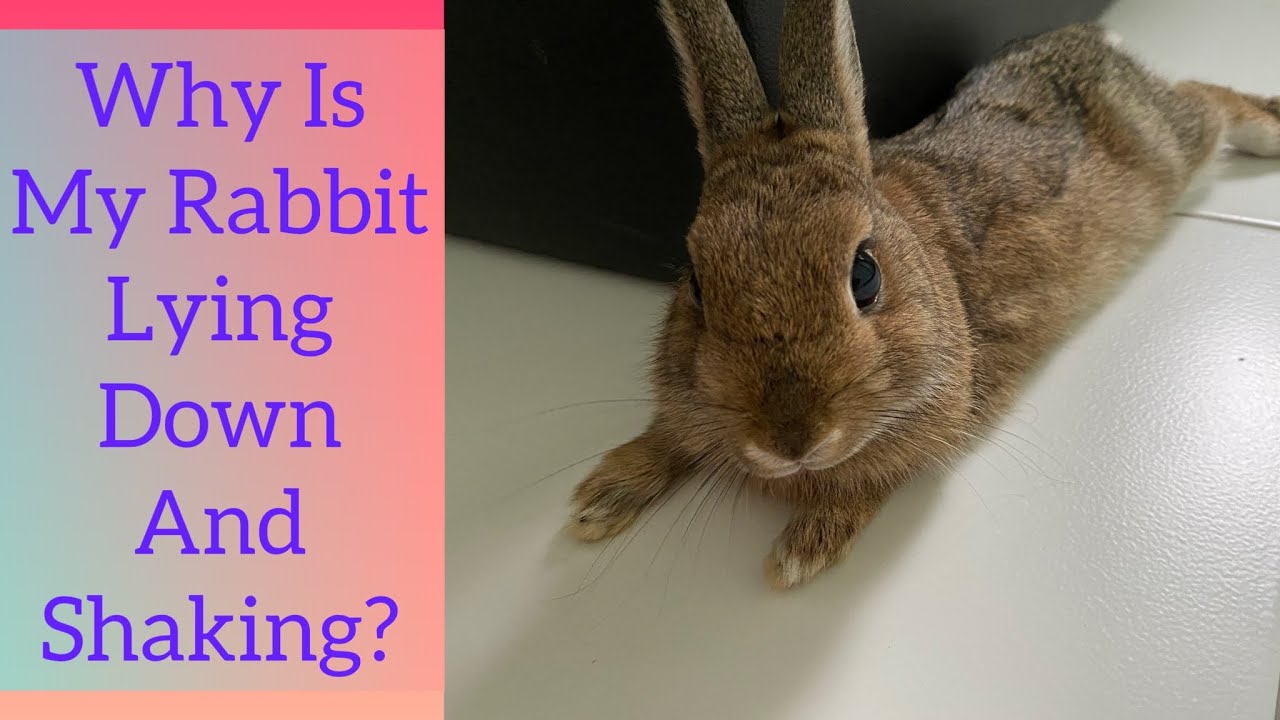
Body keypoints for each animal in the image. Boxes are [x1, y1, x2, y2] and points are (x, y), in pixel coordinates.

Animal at [567, 0, 1280, 589]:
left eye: (864, 275)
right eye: (695, 283)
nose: (791, 440)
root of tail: (1090, 37)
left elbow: (875, 478)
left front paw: (801, 551)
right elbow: (673, 433)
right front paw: (599, 497)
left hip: (1172, 146)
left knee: (1207, 98)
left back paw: (1270, 131)